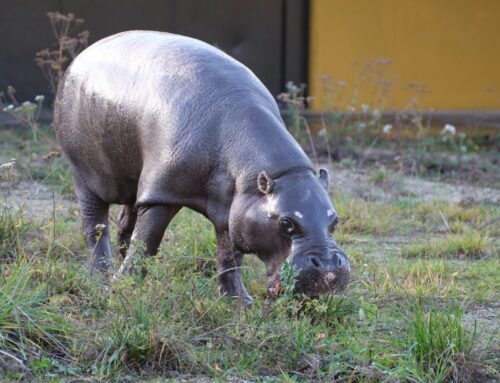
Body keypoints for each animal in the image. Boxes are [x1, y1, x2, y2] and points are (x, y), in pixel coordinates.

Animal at [54, 30, 350, 304]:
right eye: (287, 223)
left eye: (334, 221)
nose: (328, 270)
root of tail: (84, 54)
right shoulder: (163, 193)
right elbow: (148, 241)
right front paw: (127, 289)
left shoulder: (232, 208)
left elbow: (229, 257)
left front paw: (239, 302)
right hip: (88, 176)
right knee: (95, 226)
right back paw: (102, 280)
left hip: (136, 180)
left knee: (126, 222)